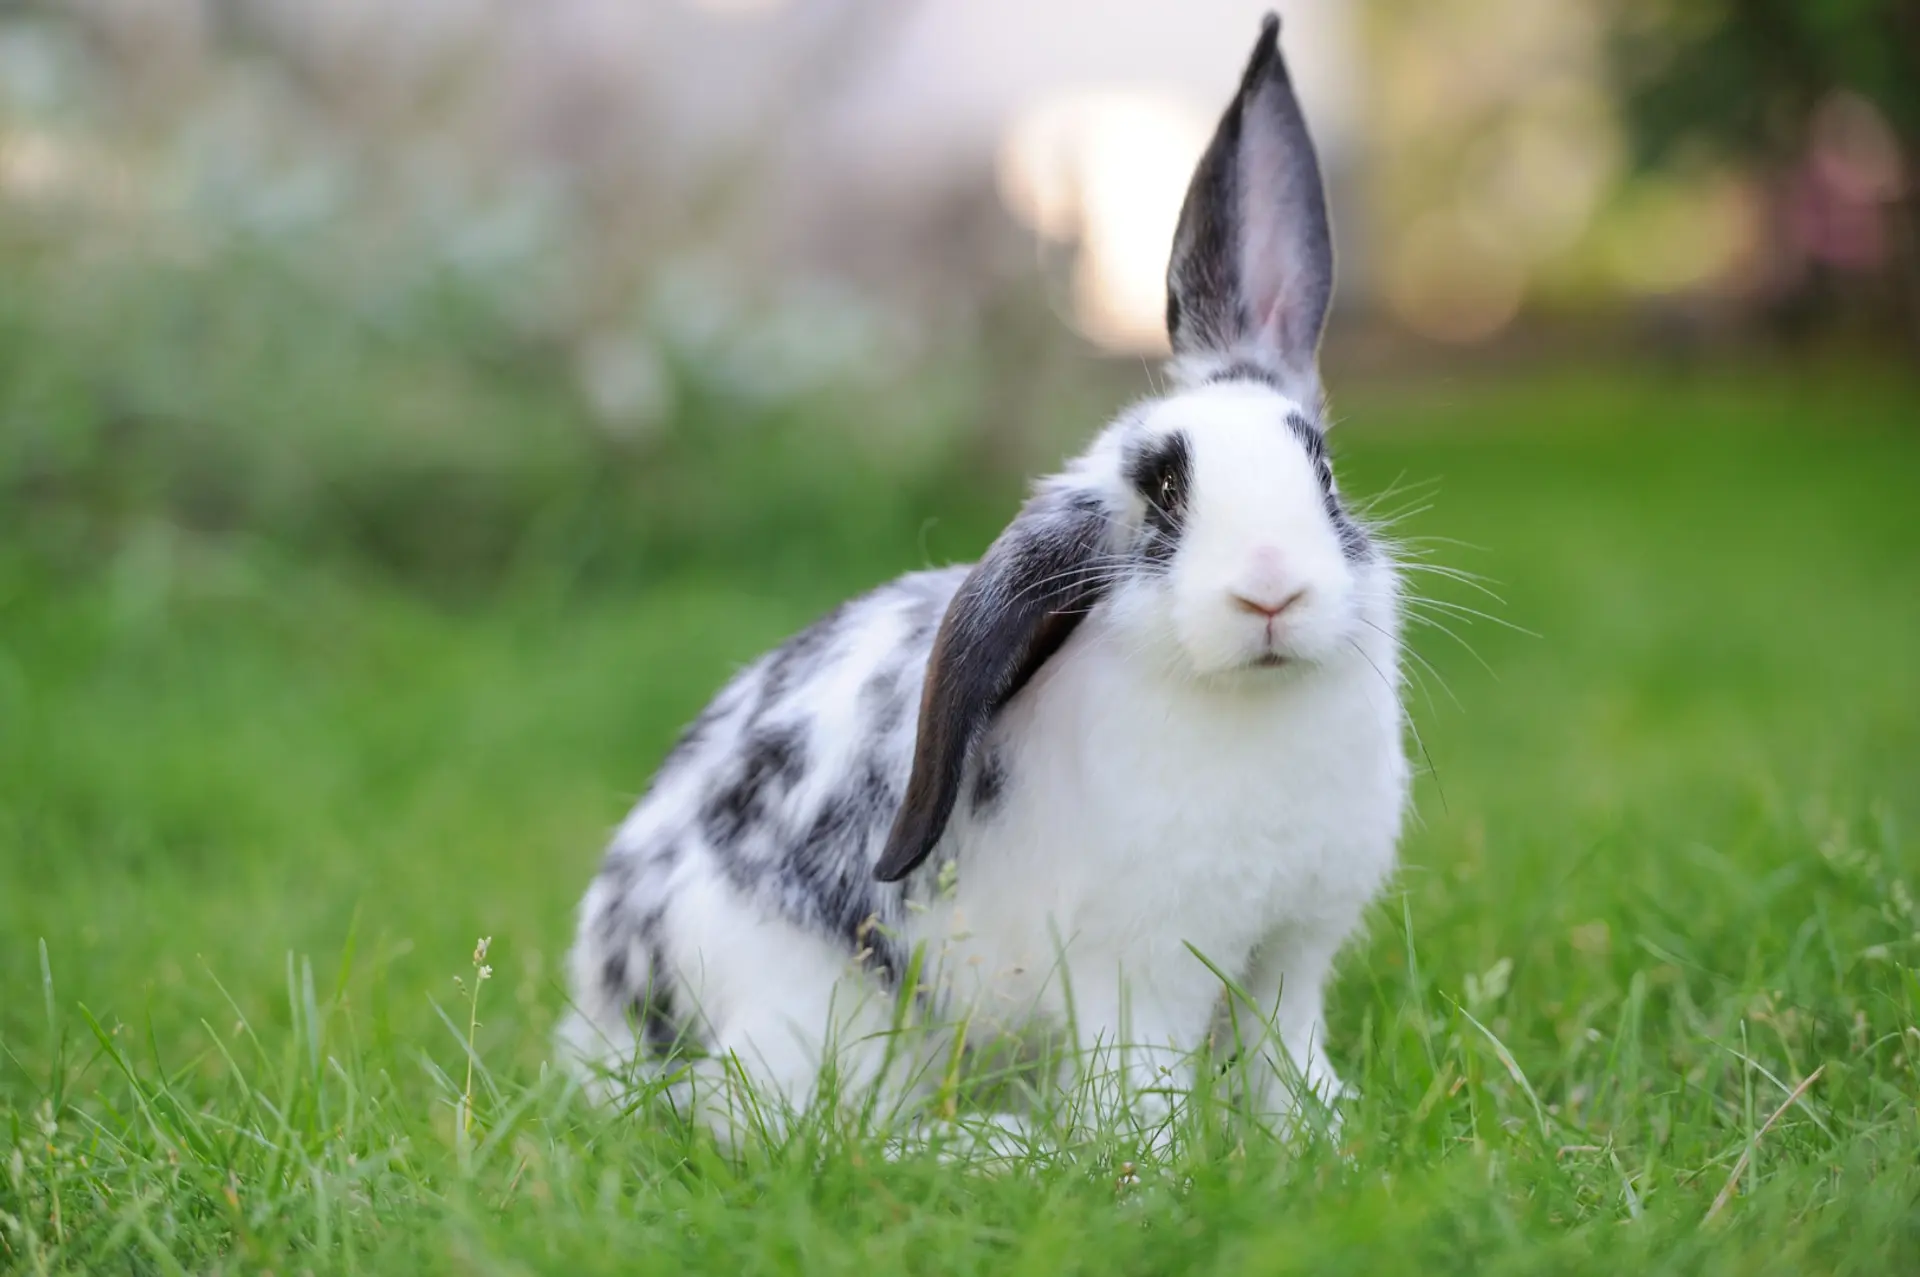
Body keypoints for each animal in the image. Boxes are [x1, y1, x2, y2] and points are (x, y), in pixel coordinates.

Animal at [557, 13, 1409, 1145]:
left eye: (1322, 471)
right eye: (1161, 494)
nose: (1271, 590)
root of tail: (607, 1008)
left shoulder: (1288, 959)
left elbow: (1286, 1063)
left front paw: (1318, 1142)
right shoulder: (1134, 971)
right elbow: (1139, 1089)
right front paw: (1150, 1161)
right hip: (814, 1016)